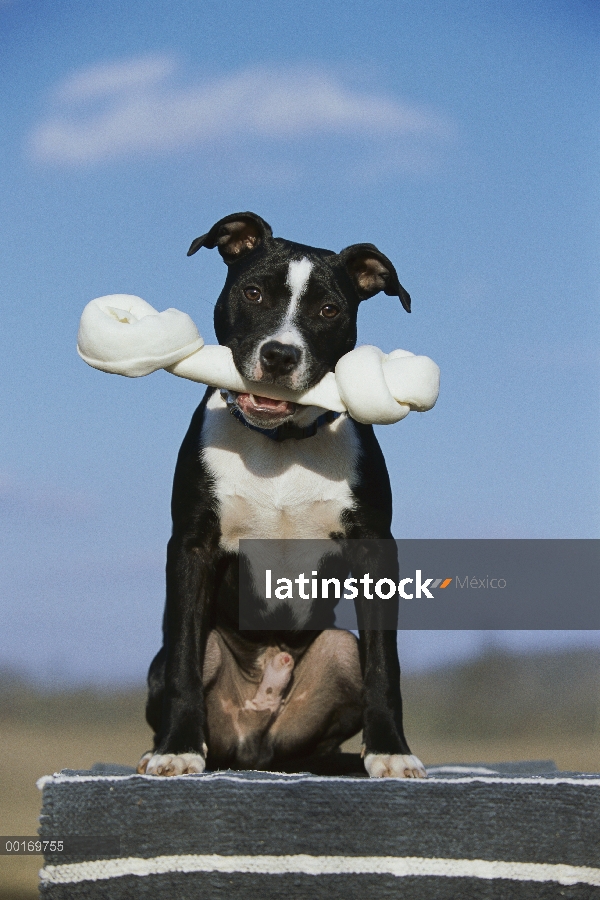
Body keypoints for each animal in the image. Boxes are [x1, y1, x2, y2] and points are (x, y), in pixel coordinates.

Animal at [137, 213, 426, 780]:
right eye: (253, 293)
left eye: (329, 309)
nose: (279, 355)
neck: (281, 444)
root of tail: (255, 749)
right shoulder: (192, 547)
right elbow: (183, 659)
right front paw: (177, 747)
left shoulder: (374, 549)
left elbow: (385, 665)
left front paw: (391, 750)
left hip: (337, 652)